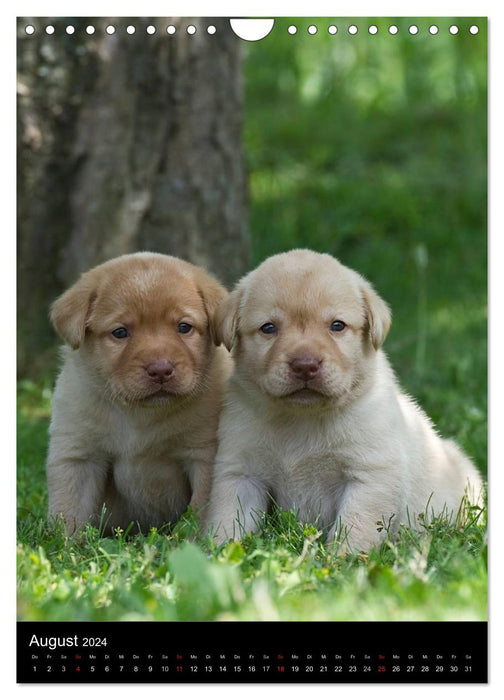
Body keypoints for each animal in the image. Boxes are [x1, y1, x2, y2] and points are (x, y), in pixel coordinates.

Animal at [46, 254, 231, 532]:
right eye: (120, 332)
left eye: (184, 327)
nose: (160, 370)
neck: (140, 414)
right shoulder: (78, 454)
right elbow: (68, 509)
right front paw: (67, 542)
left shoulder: (203, 454)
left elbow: (200, 509)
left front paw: (194, 538)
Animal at [206, 249, 484, 548]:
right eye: (268, 328)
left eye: (337, 326)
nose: (305, 365)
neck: (302, 418)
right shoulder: (240, 472)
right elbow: (228, 519)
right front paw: (218, 551)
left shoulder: (371, 473)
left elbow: (356, 526)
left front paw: (342, 556)